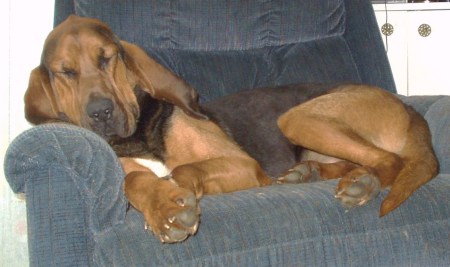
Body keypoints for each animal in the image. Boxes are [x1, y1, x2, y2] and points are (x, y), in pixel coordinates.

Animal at [23, 15, 436, 244]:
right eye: (65, 72)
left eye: (106, 58)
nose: (100, 113)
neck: (139, 136)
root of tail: (408, 107)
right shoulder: (129, 171)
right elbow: (134, 181)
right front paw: (162, 208)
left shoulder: (242, 165)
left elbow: (182, 170)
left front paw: (173, 196)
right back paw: (309, 174)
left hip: (298, 118)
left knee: (390, 162)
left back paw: (361, 184)